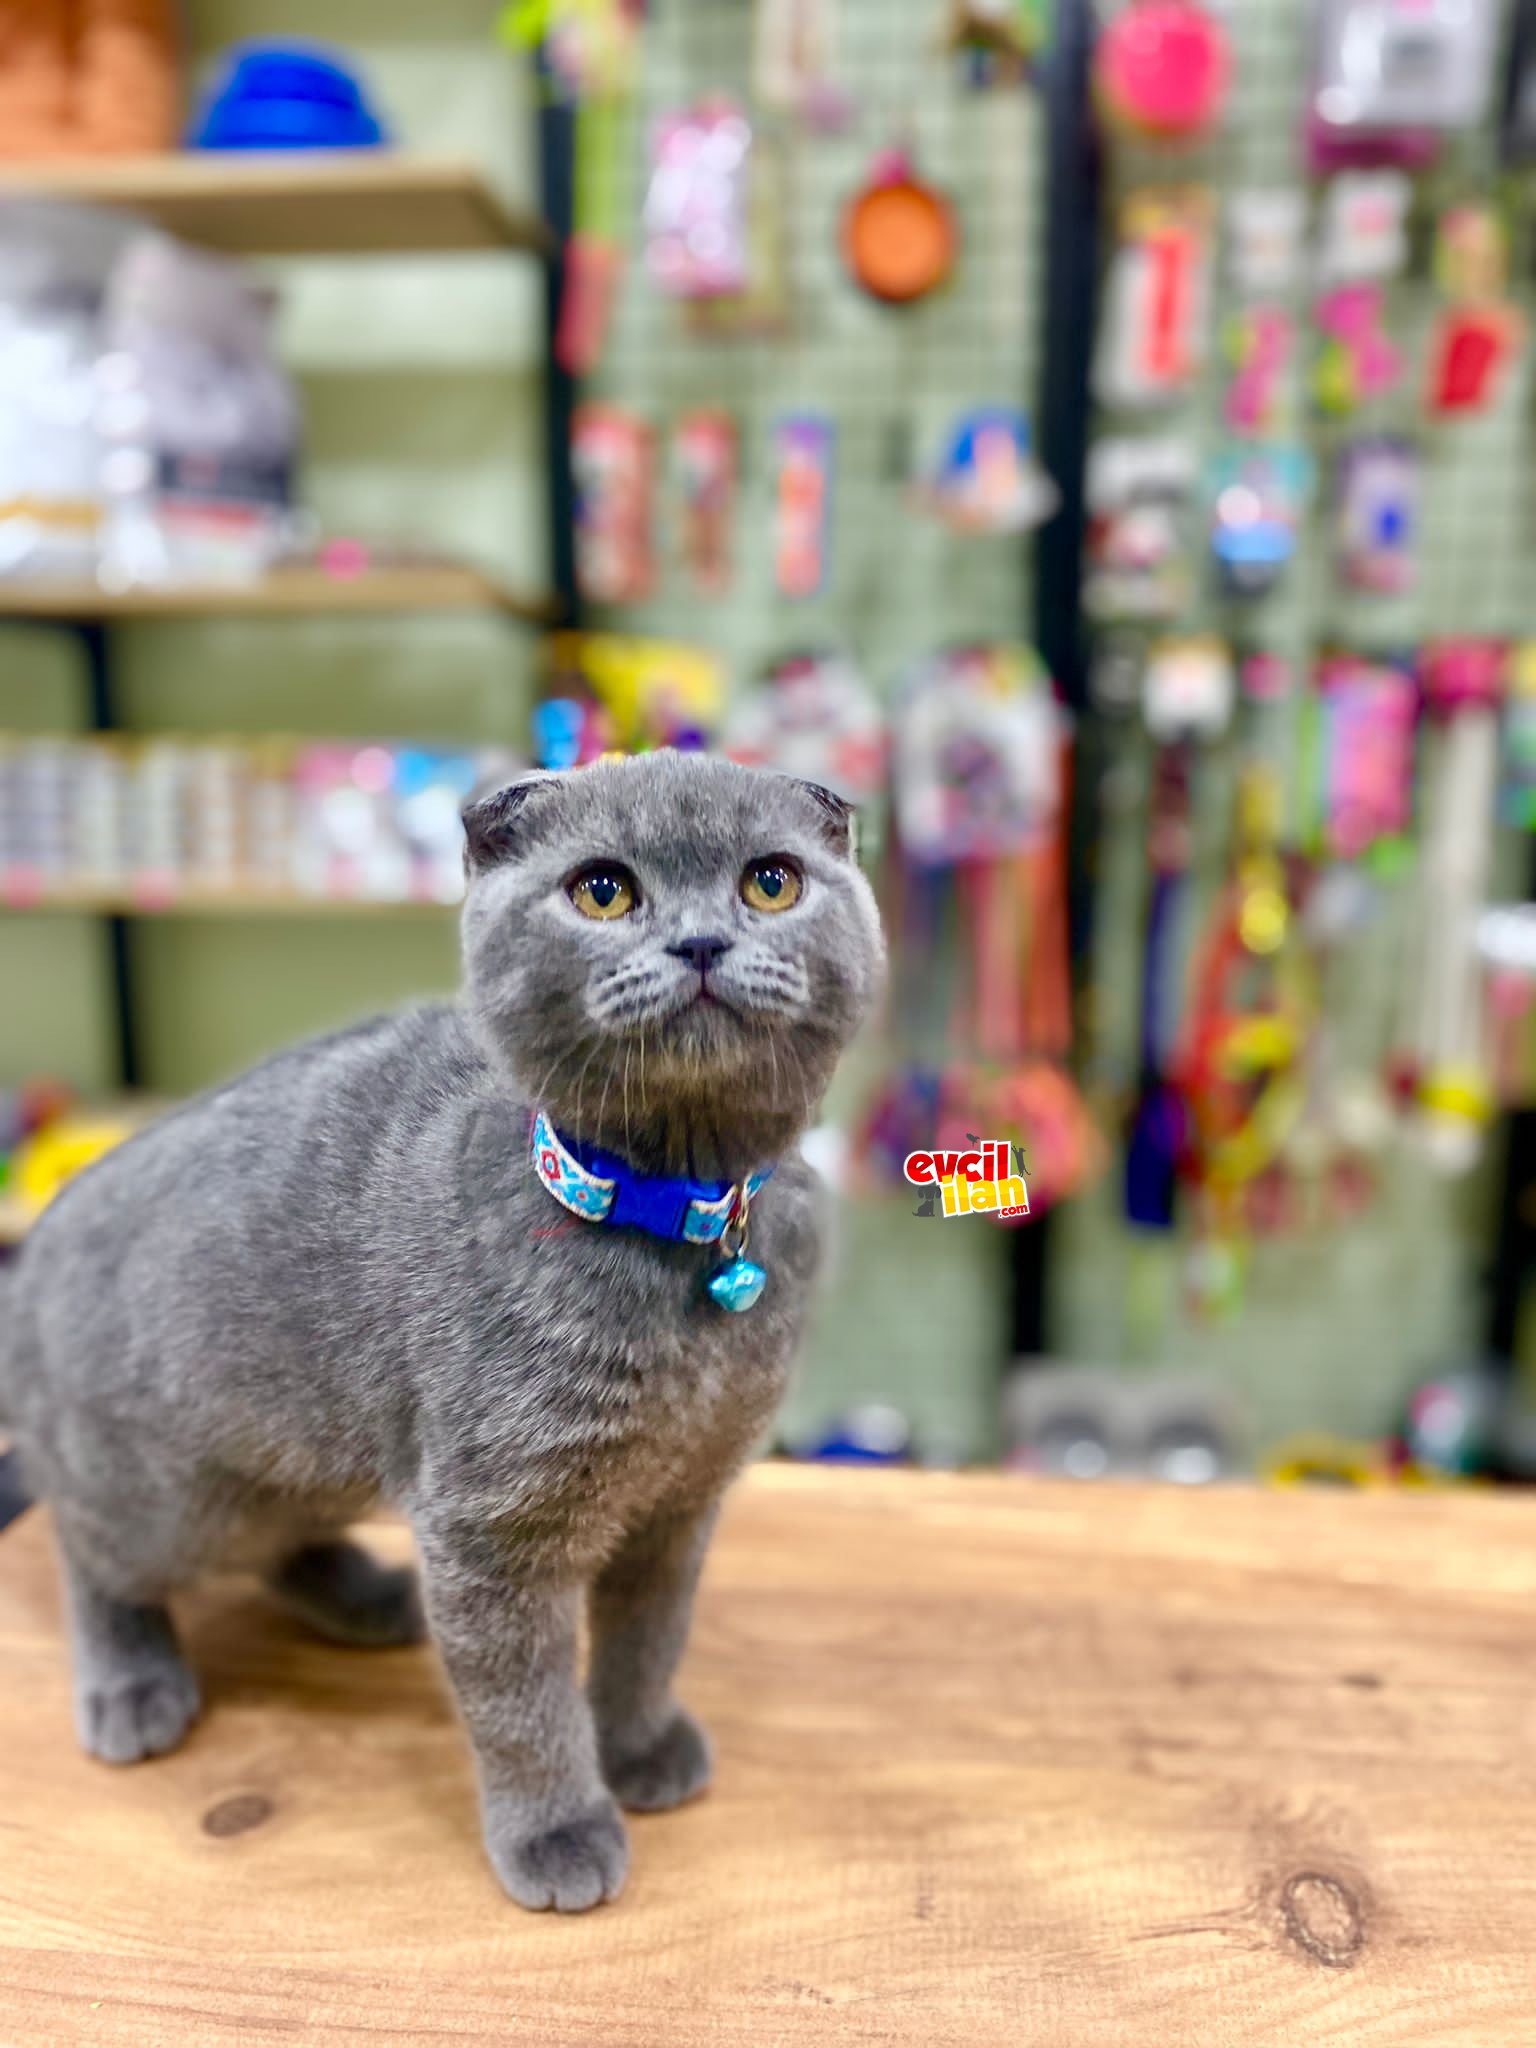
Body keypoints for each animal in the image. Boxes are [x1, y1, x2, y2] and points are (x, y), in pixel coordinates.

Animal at [0, 761, 884, 1908]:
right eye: (603, 891)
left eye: (771, 882)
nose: (699, 942)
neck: (678, 1225)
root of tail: (37, 1243)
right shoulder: (494, 1524)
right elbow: (524, 1705)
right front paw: (559, 1830)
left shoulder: (680, 1502)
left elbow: (649, 1641)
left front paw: (641, 1747)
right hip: (167, 1497)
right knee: (89, 1546)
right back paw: (131, 1681)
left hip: (301, 1462)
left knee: (279, 1536)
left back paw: (372, 1597)